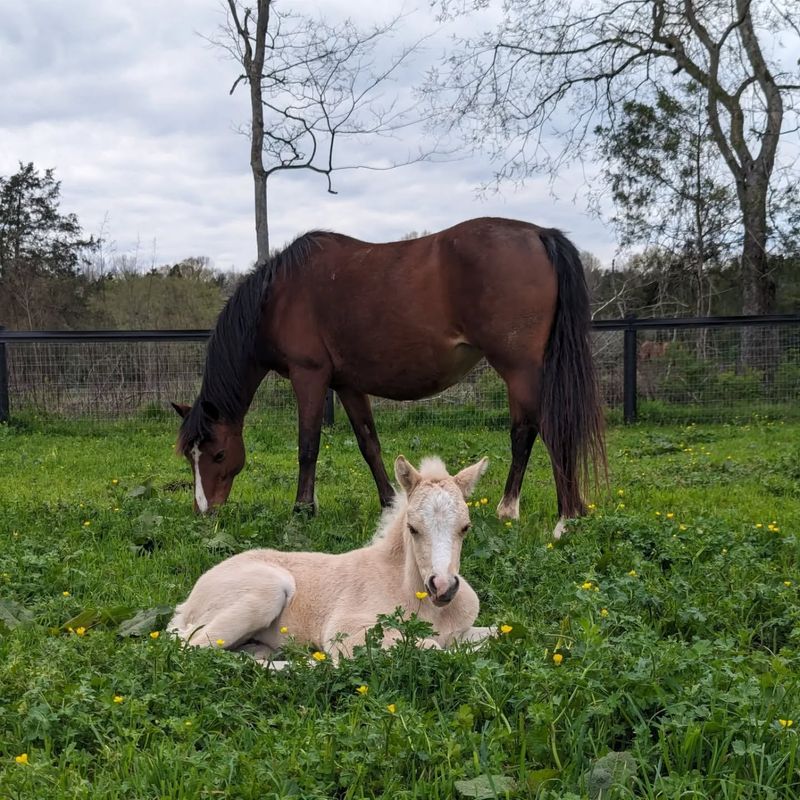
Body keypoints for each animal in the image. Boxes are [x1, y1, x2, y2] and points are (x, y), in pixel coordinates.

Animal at [169, 456, 494, 664]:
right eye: (413, 528)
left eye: (465, 527)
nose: (443, 587)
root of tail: (187, 604)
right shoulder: (349, 633)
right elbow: (433, 647)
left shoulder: (462, 630)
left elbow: (496, 635)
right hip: (267, 591)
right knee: (191, 648)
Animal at [172, 216, 604, 536]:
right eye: (189, 458)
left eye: (219, 454)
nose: (204, 510)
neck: (276, 297)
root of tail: (539, 233)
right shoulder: (347, 384)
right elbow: (369, 444)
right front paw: (390, 504)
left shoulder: (308, 376)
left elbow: (308, 445)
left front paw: (303, 509)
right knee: (529, 430)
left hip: (519, 368)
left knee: (545, 429)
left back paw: (556, 516)